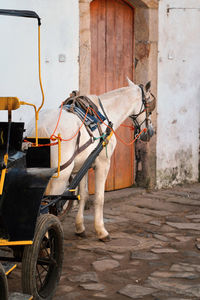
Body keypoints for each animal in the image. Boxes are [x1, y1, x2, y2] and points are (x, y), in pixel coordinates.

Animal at [26, 79, 155, 241]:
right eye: (149, 106)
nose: (151, 132)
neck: (105, 114)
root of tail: (39, 129)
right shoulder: (103, 163)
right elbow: (99, 198)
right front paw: (101, 230)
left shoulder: (83, 165)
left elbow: (83, 195)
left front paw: (80, 227)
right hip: (60, 176)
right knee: (47, 207)